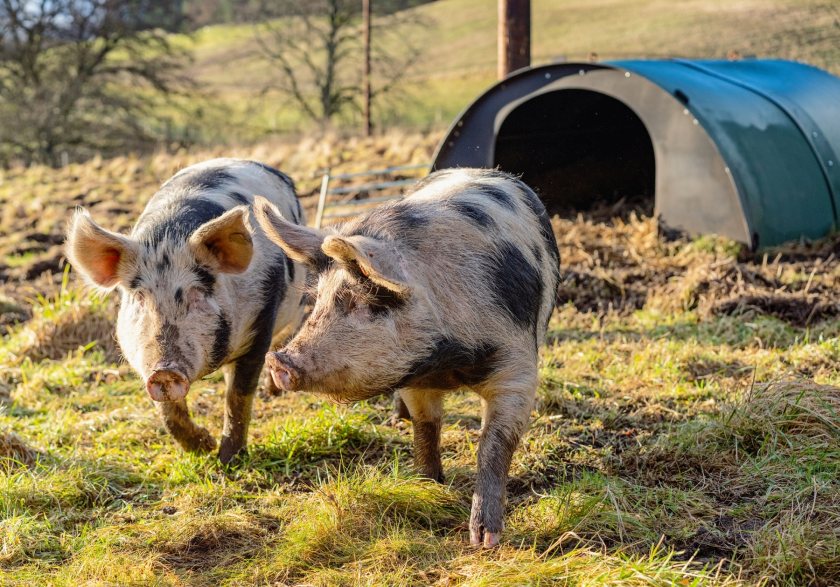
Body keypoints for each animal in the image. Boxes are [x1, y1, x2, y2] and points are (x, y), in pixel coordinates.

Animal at [64, 159, 307, 463]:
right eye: (140, 297)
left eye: (197, 292)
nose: (164, 371)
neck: (168, 238)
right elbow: (168, 411)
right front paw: (203, 447)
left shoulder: (260, 321)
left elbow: (237, 396)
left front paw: (228, 459)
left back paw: (273, 391)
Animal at [253, 168, 560, 547]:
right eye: (319, 299)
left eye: (360, 300)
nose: (277, 361)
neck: (448, 361)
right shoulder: (414, 377)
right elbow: (426, 426)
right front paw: (426, 485)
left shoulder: (516, 366)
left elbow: (494, 442)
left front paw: (484, 540)